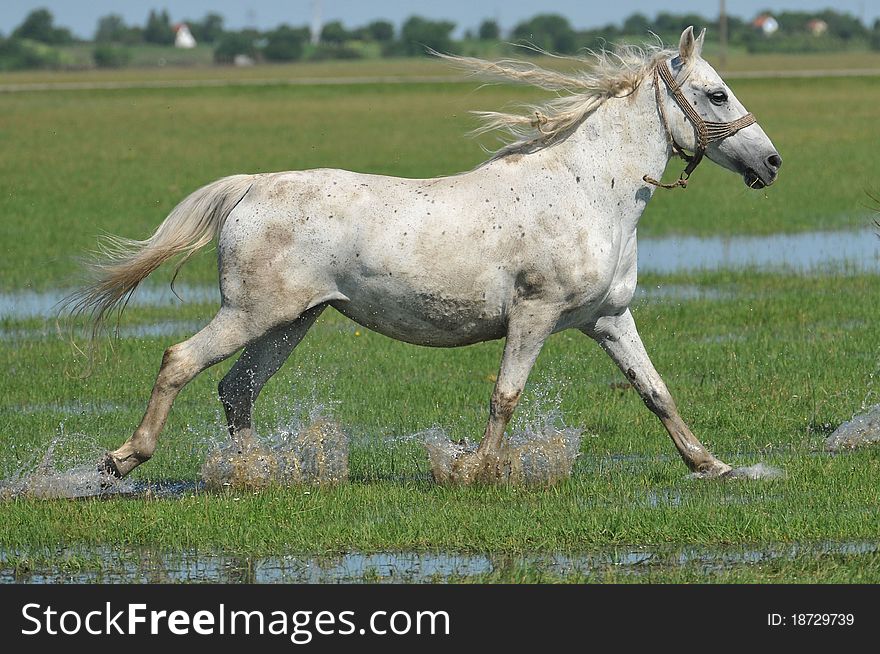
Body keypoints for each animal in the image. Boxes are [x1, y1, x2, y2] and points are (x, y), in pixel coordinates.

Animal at [70, 25, 784, 484]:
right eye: (717, 93)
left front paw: (714, 466)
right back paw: (122, 460)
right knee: (181, 361)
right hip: (250, 314)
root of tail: (250, 186)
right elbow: (506, 395)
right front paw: (477, 471)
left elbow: (655, 392)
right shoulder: (535, 314)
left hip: (293, 320)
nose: (772, 163)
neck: (587, 194)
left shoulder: (607, 319)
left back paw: (256, 471)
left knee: (236, 388)